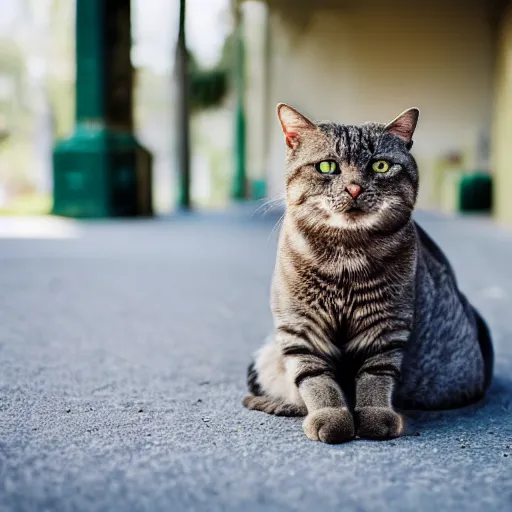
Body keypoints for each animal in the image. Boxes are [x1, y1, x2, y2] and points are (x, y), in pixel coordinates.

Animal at [242, 104, 494, 444]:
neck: (345, 258)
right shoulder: (301, 328)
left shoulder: (385, 327)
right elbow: (316, 380)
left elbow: (375, 378)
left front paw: (374, 418)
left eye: (381, 165)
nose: (354, 187)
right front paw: (331, 416)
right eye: (327, 167)